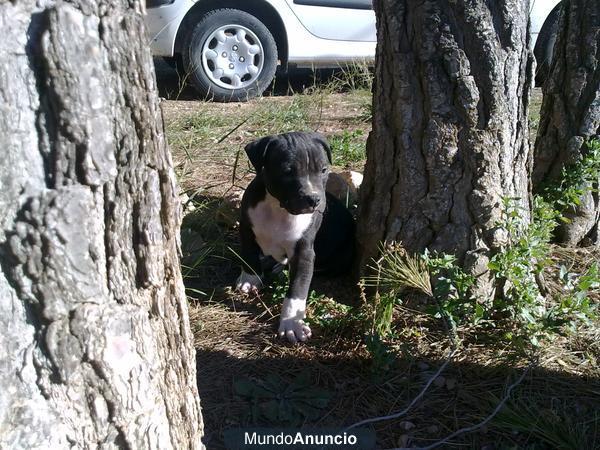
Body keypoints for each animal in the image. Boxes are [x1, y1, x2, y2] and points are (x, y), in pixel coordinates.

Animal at [236, 132, 356, 342]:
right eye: (287, 171)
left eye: (324, 170)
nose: (314, 199)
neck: (278, 209)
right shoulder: (246, 226)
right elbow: (249, 253)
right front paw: (250, 279)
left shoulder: (304, 252)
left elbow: (298, 288)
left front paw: (292, 322)